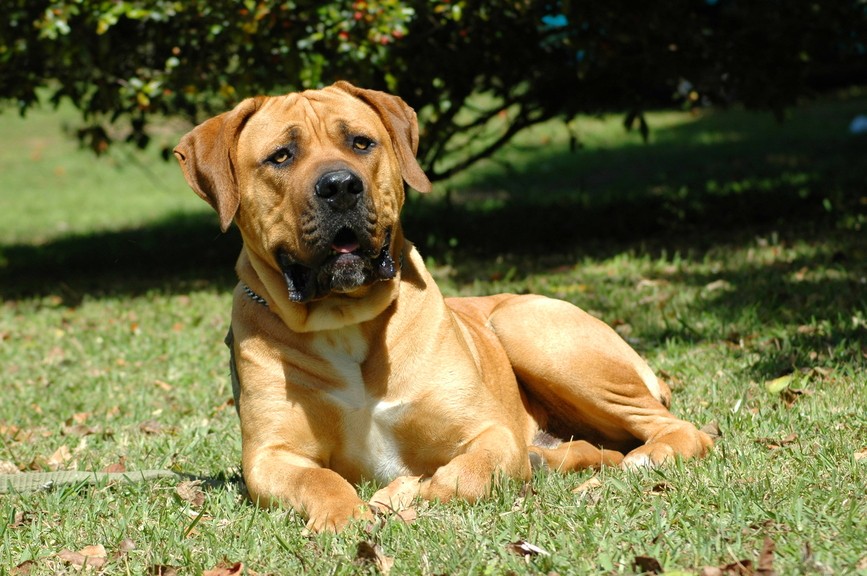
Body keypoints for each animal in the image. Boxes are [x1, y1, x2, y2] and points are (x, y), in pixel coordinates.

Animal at [175, 80, 712, 532]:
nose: (340, 186)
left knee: (680, 430)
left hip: (529, 329)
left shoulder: (490, 432)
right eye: (281, 156)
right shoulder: (271, 456)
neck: (345, 322)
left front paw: (407, 494)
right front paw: (344, 514)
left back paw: (649, 455)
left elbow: (462, 477)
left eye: (361, 143)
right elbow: (318, 479)